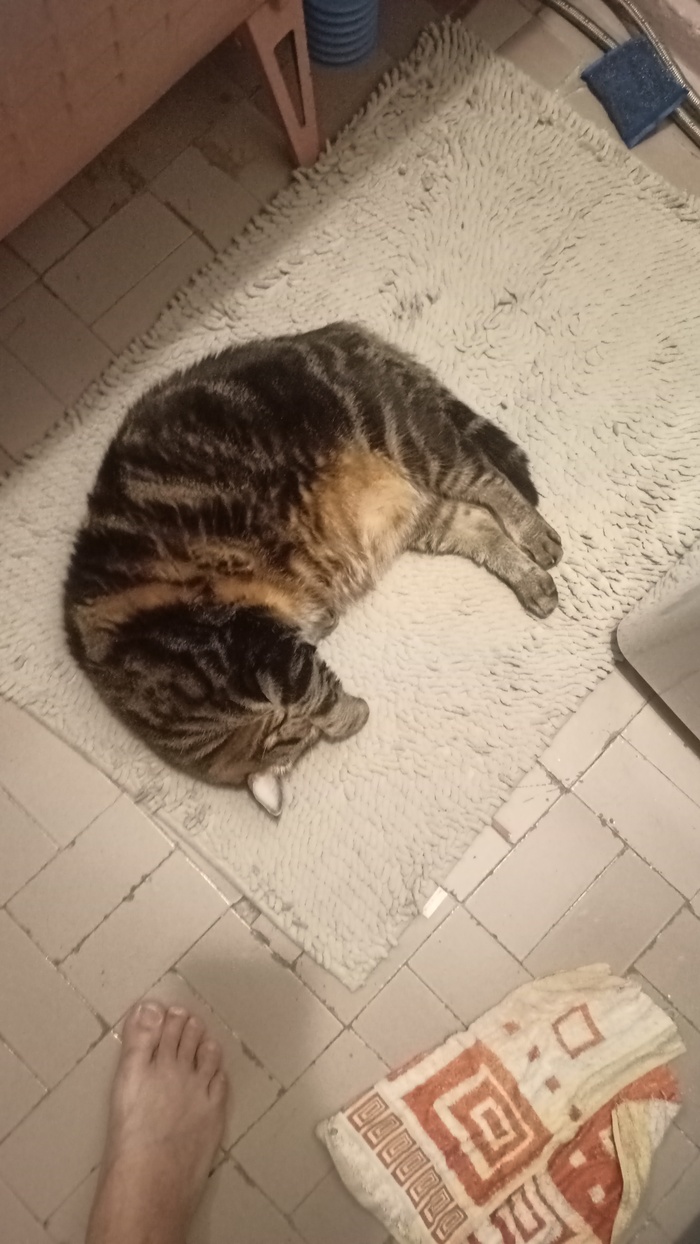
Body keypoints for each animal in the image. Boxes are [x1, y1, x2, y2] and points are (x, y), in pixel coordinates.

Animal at [64, 322, 562, 815]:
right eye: (300, 742)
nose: (305, 736)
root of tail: (338, 332)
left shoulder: (256, 648)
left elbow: (320, 695)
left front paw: (351, 715)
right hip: (410, 510)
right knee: (478, 524)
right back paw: (533, 586)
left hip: (412, 440)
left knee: (492, 482)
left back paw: (539, 538)